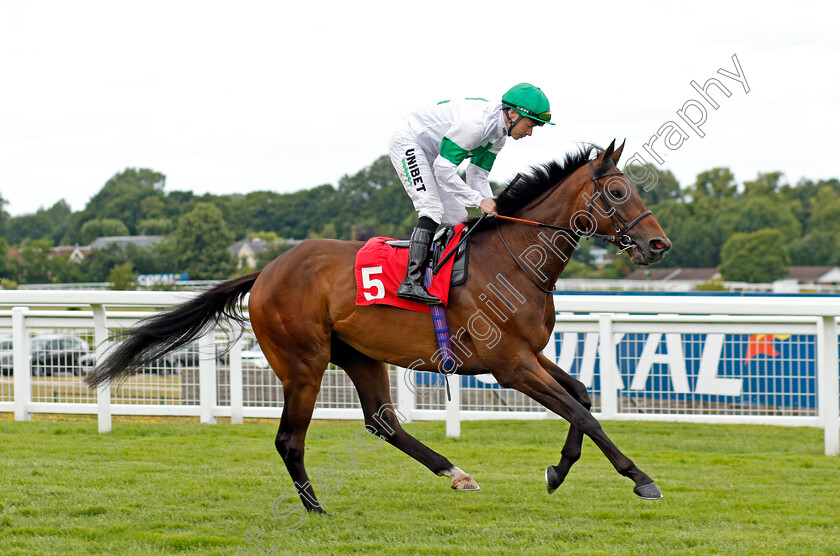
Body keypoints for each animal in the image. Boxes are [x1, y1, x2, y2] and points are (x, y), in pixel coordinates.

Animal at [85, 139, 672, 512]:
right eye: (618, 193)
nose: (658, 244)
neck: (514, 260)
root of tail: (268, 269)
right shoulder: (509, 365)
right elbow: (582, 411)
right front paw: (642, 479)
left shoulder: (530, 354)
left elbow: (582, 396)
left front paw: (558, 469)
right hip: (304, 363)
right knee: (289, 439)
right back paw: (315, 507)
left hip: (359, 354)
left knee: (382, 422)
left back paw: (455, 473)